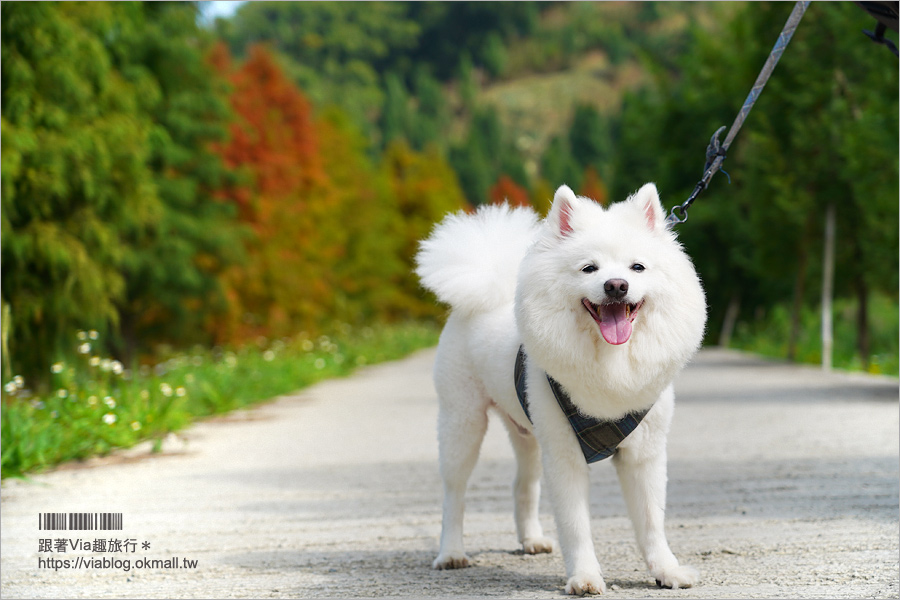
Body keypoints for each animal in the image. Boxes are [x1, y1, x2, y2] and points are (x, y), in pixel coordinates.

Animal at [416, 184, 712, 596]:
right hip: (463, 422)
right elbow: (576, 525)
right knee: (453, 494)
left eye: (637, 267)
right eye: (589, 268)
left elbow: (652, 521)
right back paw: (451, 553)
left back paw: (531, 540)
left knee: (522, 485)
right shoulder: (566, 455)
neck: (609, 362)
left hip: (528, 434)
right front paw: (585, 578)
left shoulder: (644, 454)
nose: (616, 285)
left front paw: (666, 571)